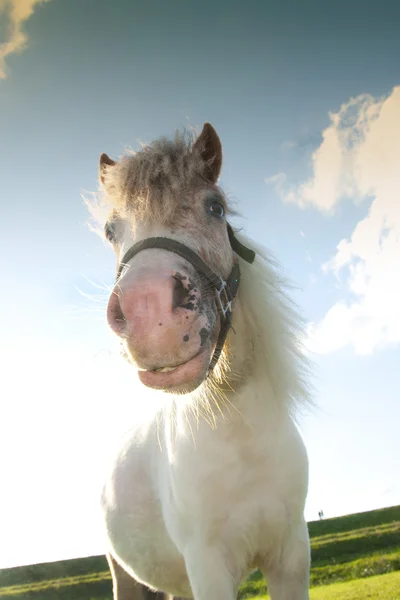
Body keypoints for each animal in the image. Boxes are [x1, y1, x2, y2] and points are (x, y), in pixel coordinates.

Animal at [94, 123, 312, 600]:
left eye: (216, 207)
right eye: (109, 231)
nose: (150, 315)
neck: (242, 439)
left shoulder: (291, 557)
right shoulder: (208, 567)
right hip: (125, 574)